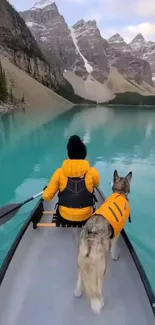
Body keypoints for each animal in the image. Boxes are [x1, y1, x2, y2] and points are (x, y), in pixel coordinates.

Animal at [74, 170, 132, 314]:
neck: (120, 192)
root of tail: (90, 238)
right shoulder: (117, 233)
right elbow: (114, 247)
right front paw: (114, 255)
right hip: (101, 267)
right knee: (98, 288)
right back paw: (100, 301)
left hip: (80, 261)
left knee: (80, 278)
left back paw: (78, 292)